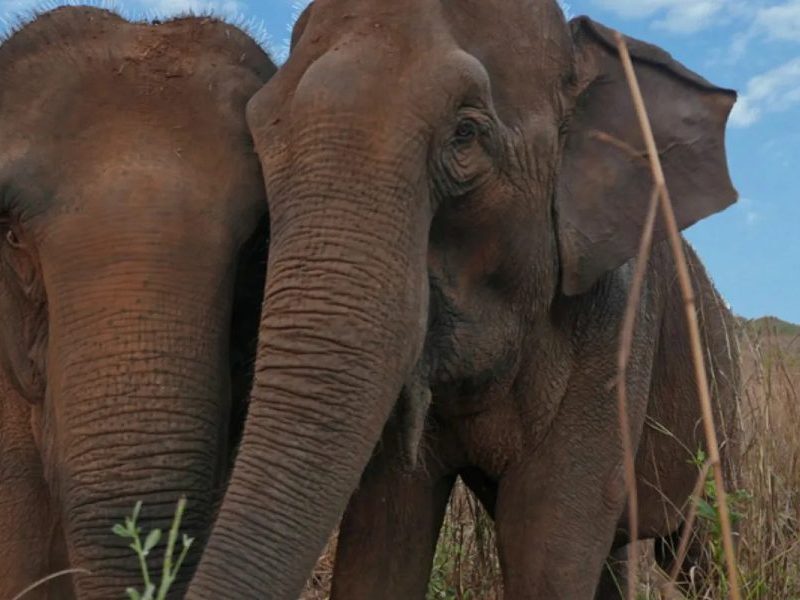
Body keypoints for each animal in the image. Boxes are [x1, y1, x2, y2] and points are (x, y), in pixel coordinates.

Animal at [188, 0, 740, 598]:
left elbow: (548, 543)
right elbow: (385, 532)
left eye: (466, 134)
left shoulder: (616, 323)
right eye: (260, 133)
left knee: (703, 544)